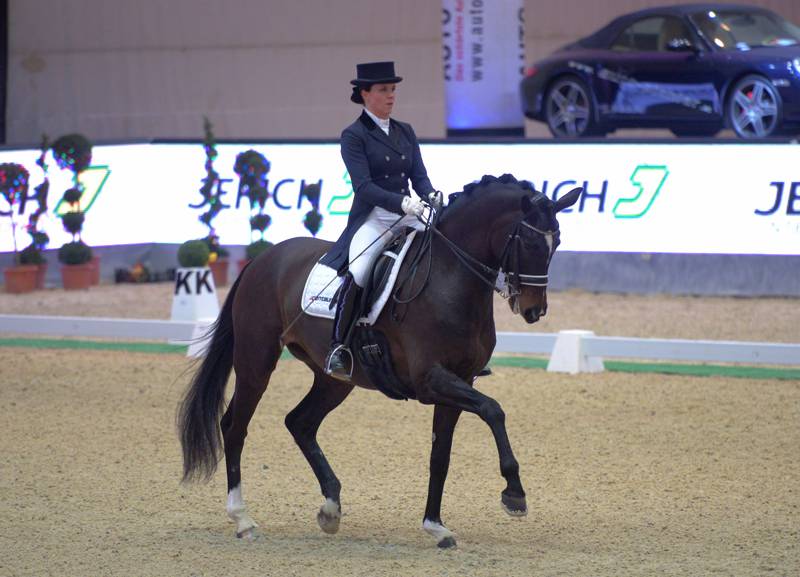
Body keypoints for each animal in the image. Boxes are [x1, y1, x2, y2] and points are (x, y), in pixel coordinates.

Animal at [180, 173, 580, 548]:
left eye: (557, 242)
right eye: (530, 242)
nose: (534, 311)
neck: (450, 279)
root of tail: (262, 260)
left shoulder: (460, 380)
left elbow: (441, 455)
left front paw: (436, 526)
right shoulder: (431, 380)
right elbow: (494, 410)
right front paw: (514, 494)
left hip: (335, 378)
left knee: (300, 423)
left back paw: (330, 509)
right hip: (256, 360)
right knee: (235, 426)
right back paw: (243, 519)